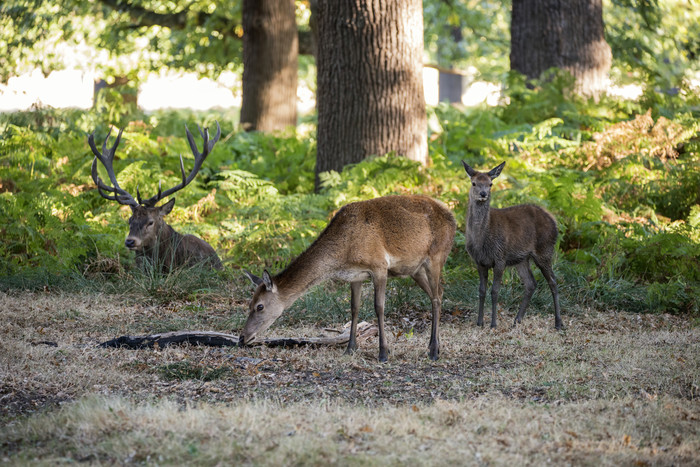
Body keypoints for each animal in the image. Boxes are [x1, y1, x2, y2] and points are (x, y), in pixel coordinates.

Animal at [241, 196, 460, 364]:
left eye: (259, 306)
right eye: (249, 304)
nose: (242, 337)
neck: (344, 252)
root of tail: (452, 216)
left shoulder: (379, 266)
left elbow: (379, 307)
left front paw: (383, 353)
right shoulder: (356, 276)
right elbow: (354, 308)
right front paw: (350, 348)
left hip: (437, 256)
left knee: (436, 297)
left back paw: (433, 351)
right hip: (415, 269)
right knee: (439, 293)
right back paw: (435, 347)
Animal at [464, 163, 564, 330]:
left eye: (490, 184)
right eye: (474, 183)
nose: (483, 194)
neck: (481, 239)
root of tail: (554, 221)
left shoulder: (500, 257)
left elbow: (495, 291)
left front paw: (493, 324)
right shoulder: (479, 261)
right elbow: (482, 290)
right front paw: (479, 322)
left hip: (544, 250)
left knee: (553, 281)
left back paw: (558, 322)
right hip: (522, 259)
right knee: (531, 283)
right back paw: (517, 319)